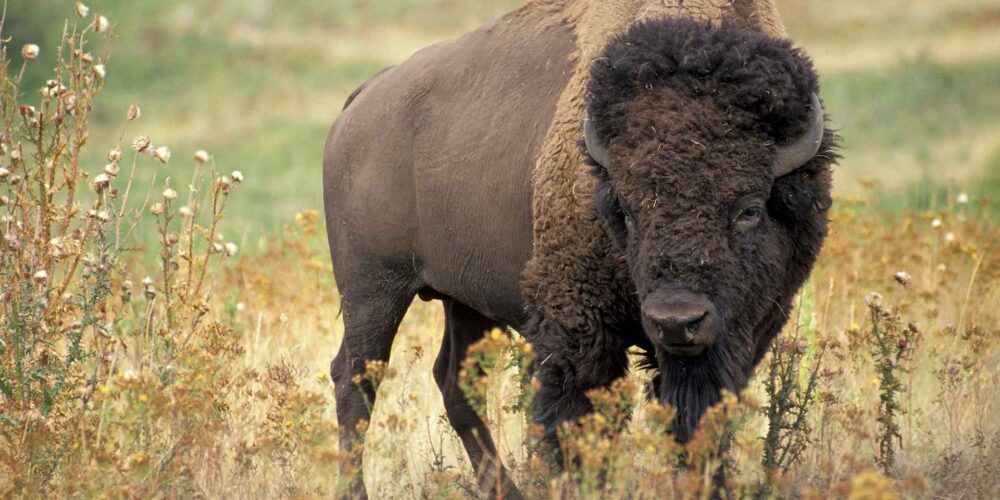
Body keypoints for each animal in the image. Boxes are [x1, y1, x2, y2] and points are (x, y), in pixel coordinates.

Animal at [322, 0, 836, 496]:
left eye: (750, 208)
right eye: (625, 209)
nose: (676, 321)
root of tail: (362, 99)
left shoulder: (742, 336)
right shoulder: (578, 328)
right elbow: (578, 422)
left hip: (464, 300)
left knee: (455, 381)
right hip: (373, 291)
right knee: (355, 380)